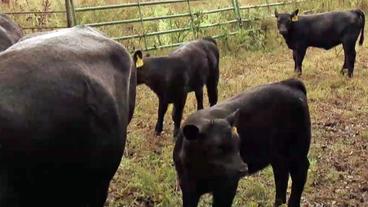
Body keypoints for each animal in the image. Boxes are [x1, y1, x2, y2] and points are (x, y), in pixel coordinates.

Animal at [175, 78, 310, 206]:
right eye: (217, 147)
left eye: (238, 144)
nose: (244, 168)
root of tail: (288, 83)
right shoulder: (187, 187)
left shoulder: (227, 186)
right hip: (278, 155)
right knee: (281, 173)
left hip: (297, 151)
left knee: (299, 173)